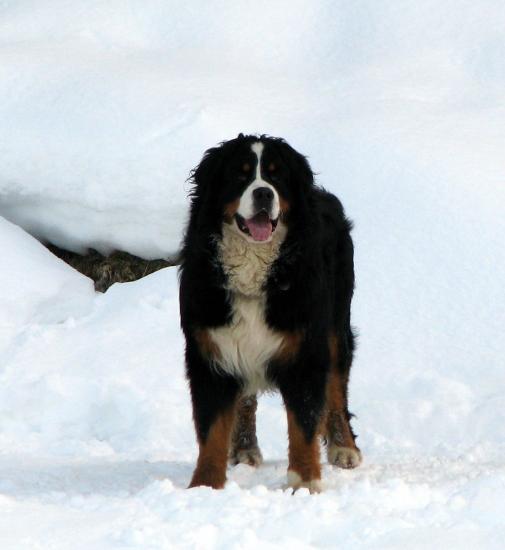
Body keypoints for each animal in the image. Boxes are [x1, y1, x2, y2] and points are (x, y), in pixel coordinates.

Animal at [179, 135, 360, 496]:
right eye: (240, 174)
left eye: (276, 176)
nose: (263, 193)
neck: (254, 268)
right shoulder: (209, 352)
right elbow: (211, 428)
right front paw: (205, 486)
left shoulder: (306, 351)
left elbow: (304, 423)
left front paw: (305, 481)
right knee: (246, 400)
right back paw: (245, 448)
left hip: (336, 330)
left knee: (336, 389)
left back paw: (343, 447)